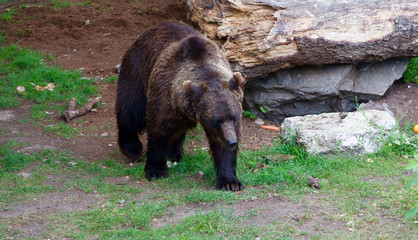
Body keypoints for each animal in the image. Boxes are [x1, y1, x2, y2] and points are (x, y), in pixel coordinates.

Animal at [115, 21, 245, 192]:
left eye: (233, 117)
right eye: (216, 120)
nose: (232, 141)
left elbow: (223, 149)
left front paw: (230, 181)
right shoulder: (164, 94)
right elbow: (158, 129)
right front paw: (156, 170)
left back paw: (174, 152)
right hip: (136, 70)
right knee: (131, 110)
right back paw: (132, 148)